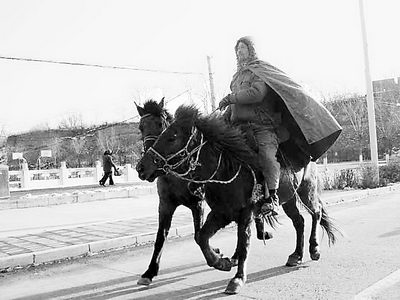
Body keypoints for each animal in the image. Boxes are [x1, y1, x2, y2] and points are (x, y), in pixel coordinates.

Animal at [136, 104, 340, 294]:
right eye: (141, 127)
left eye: (171, 136)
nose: (141, 167)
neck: (226, 169)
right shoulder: (220, 213)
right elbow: (201, 237)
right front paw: (222, 262)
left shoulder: (245, 214)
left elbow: (243, 244)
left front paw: (237, 279)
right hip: (288, 198)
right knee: (299, 221)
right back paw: (296, 255)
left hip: (307, 190)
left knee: (316, 213)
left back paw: (314, 249)